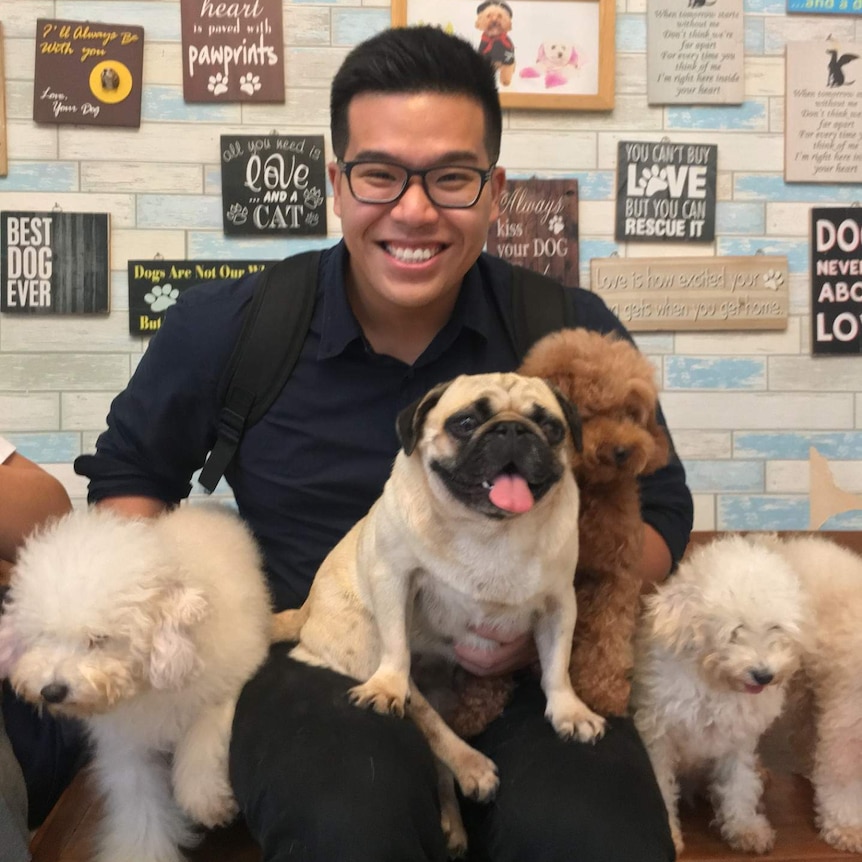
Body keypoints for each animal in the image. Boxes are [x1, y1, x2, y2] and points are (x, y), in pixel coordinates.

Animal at [0, 506, 274, 862]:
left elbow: (203, 736)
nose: (53, 691)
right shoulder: (128, 746)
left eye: (98, 638)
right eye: (44, 634)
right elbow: (141, 808)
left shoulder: (224, 682)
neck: (146, 688)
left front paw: (204, 796)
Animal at [632, 536, 808, 852]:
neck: (714, 685)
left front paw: (746, 828)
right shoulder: (658, 738)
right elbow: (662, 786)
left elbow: (739, 783)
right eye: (735, 631)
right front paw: (670, 834)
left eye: (775, 627)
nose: (764, 675)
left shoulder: (736, 738)